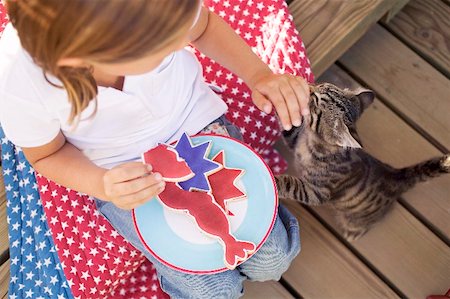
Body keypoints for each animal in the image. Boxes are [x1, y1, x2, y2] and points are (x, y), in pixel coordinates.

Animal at [276, 82, 448, 241]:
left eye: (315, 100)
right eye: (321, 85)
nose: (309, 86)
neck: (309, 141)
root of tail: (396, 174)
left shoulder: (318, 192)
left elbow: (291, 184)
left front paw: (275, 182)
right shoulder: (294, 142)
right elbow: (290, 127)